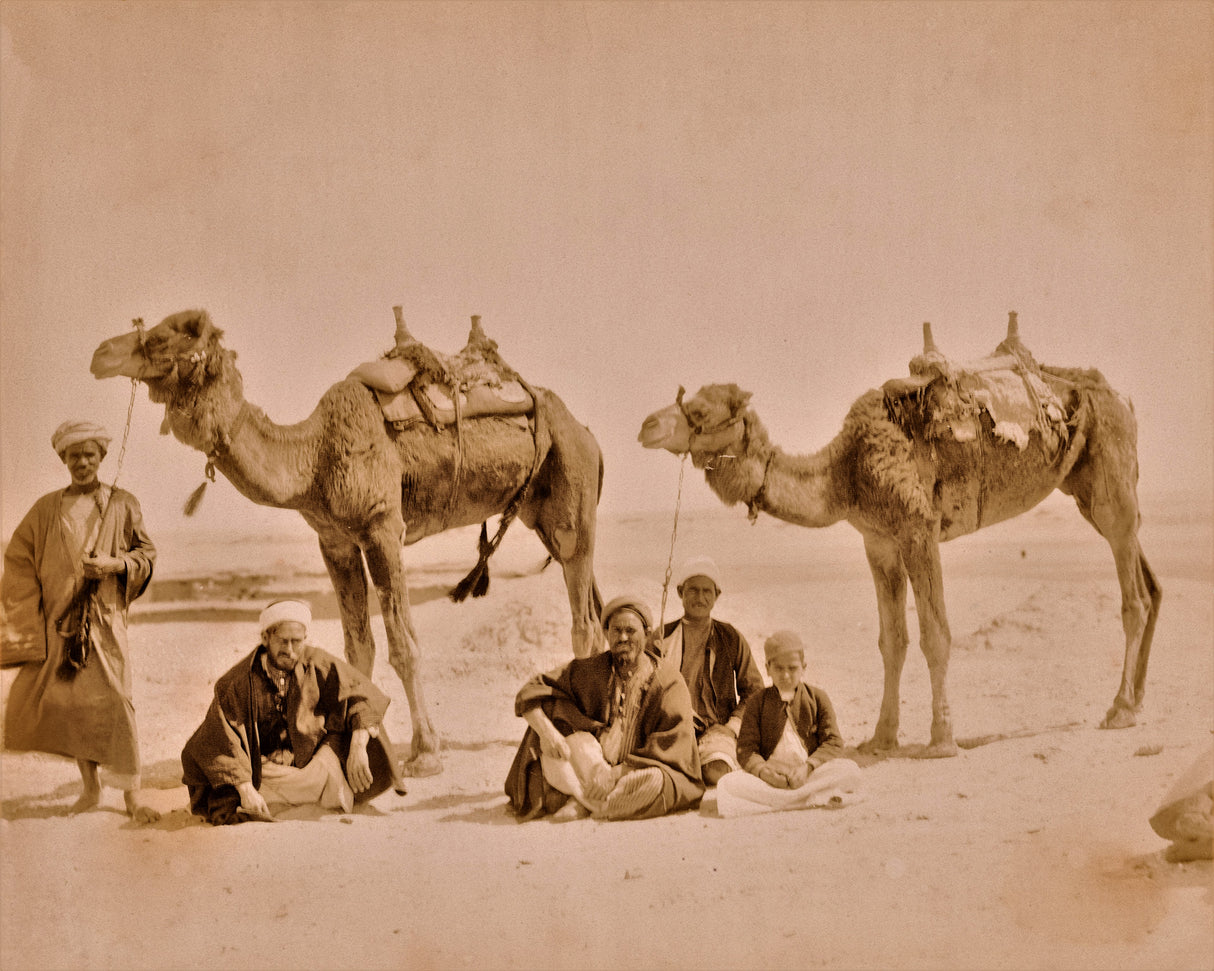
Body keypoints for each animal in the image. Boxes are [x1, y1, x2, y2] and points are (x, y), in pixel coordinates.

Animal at [91, 309, 604, 776]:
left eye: (165, 337)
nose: (101, 354)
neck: (313, 458)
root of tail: (586, 432)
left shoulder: (382, 527)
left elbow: (403, 646)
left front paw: (427, 753)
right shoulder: (334, 541)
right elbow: (358, 649)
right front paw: (359, 741)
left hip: (570, 492)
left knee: (581, 614)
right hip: (541, 512)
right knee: (590, 610)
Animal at [639, 314, 1160, 757]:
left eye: (700, 410)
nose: (647, 424)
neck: (847, 473)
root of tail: (1122, 397)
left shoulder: (917, 530)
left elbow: (936, 635)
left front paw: (942, 739)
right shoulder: (879, 543)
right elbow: (892, 641)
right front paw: (881, 738)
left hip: (1111, 477)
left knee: (1132, 592)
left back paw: (1119, 709)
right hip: (1088, 488)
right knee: (1149, 582)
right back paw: (1136, 701)